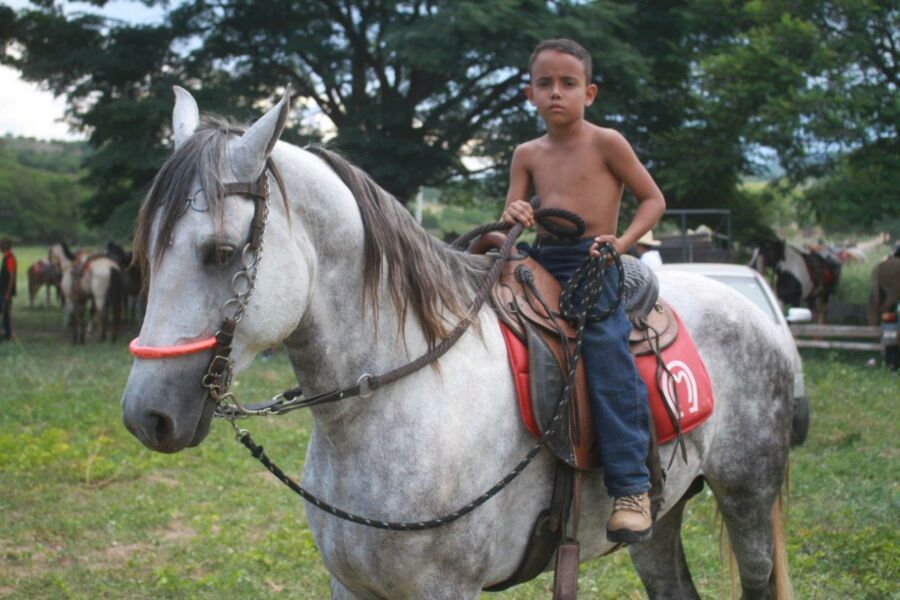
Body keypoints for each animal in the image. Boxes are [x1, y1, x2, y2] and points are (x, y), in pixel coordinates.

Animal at [119, 89, 796, 600]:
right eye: (146, 249)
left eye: (220, 253)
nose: (145, 416)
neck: (397, 398)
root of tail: (763, 321)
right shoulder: (351, 585)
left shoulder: (445, 590)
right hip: (662, 521)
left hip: (748, 500)